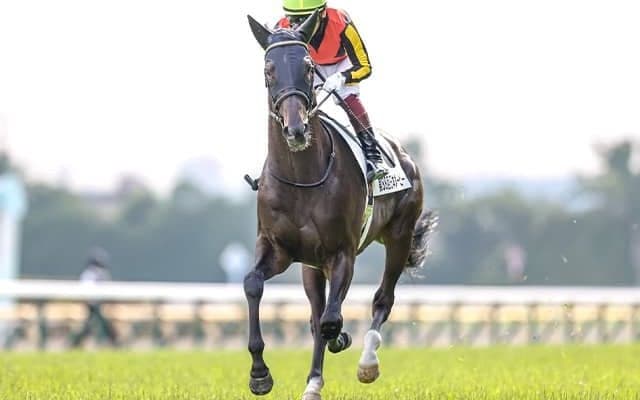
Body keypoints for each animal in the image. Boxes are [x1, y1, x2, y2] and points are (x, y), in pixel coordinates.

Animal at [244, 10, 436, 400]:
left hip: (399, 236)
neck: (301, 178)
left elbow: (332, 320)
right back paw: (313, 382)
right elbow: (254, 284)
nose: (296, 129)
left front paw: (343, 339)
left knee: (381, 300)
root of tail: (404, 153)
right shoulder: (278, 249)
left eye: (307, 68)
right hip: (310, 265)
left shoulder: (341, 252)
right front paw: (259, 373)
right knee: (318, 311)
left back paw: (366, 362)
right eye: (269, 69)